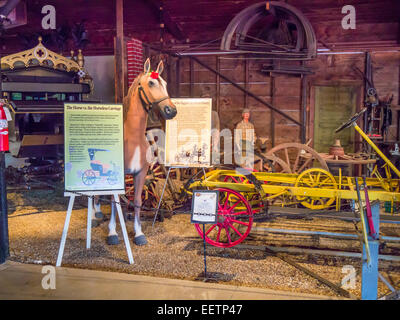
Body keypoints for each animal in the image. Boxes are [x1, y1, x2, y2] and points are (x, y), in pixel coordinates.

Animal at [93, 58, 177, 245]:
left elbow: (137, 201)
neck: (133, 138)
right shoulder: (118, 176)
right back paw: (95, 216)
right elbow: (114, 201)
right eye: (151, 83)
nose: (171, 111)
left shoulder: (141, 173)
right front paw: (112, 233)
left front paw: (138, 233)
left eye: (166, 84)